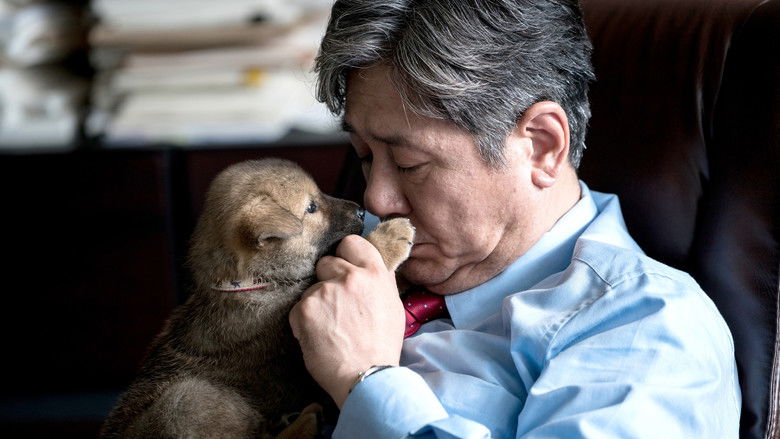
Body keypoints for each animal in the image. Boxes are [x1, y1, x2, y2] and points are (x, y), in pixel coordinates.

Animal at [99, 158, 415, 438]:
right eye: (311, 208)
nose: (362, 211)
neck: (253, 282)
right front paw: (391, 236)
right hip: (186, 399)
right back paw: (307, 421)